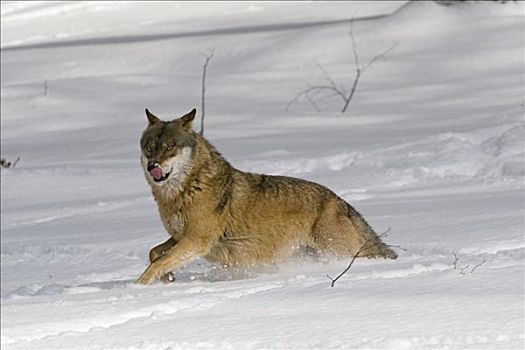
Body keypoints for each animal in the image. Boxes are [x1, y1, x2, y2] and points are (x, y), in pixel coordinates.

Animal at [137, 108, 396, 284]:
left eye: (170, 147)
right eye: (149, 148)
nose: (152, 166)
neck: (188, 188)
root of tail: (342, 202)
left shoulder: (196, 240)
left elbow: (157, 262)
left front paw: (138, 286)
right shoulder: (180, 237)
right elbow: (154, 253)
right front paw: (167, 278)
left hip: (337, 252)